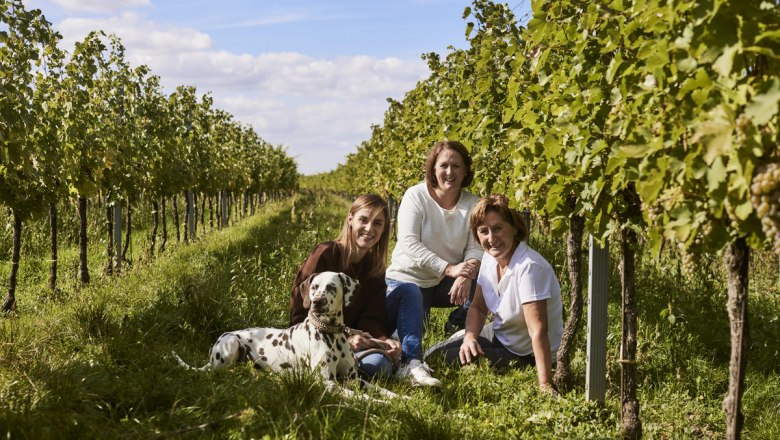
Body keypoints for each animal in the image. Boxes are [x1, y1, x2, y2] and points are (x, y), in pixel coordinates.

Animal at [173, 270, 400, 400]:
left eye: (331, 287)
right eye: (314, 287)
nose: (316, 302)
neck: (332, 334)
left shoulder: (352, 378)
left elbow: (382, 390)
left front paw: (401, 399)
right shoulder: (327, 383)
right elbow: (364, 398)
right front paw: (379, 404)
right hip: (230, 343)